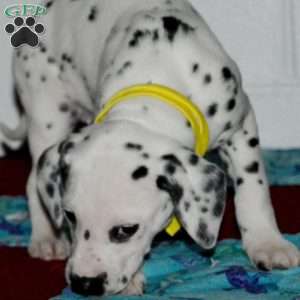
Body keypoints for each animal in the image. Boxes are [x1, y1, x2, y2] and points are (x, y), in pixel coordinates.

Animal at [1, 0, 298, 296]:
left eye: (126, 230)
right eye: (71, 217)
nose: (84, 283)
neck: (158, 75)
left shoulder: (241, 126)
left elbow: (253, 188)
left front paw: (267, 243)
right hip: (46, 111)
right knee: (34, 180)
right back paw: (46, 237)